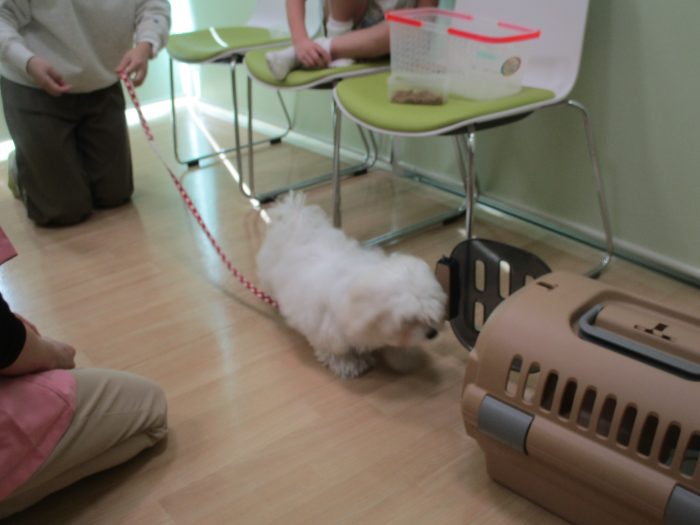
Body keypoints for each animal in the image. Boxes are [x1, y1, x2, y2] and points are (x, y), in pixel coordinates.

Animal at [256, 193, 447, 379]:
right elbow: (338, 352)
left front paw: (403, 358)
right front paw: (350, 365)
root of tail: (295, 219)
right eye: (409, 320)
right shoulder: (330, 331)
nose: (432, 333)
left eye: (431, 313)